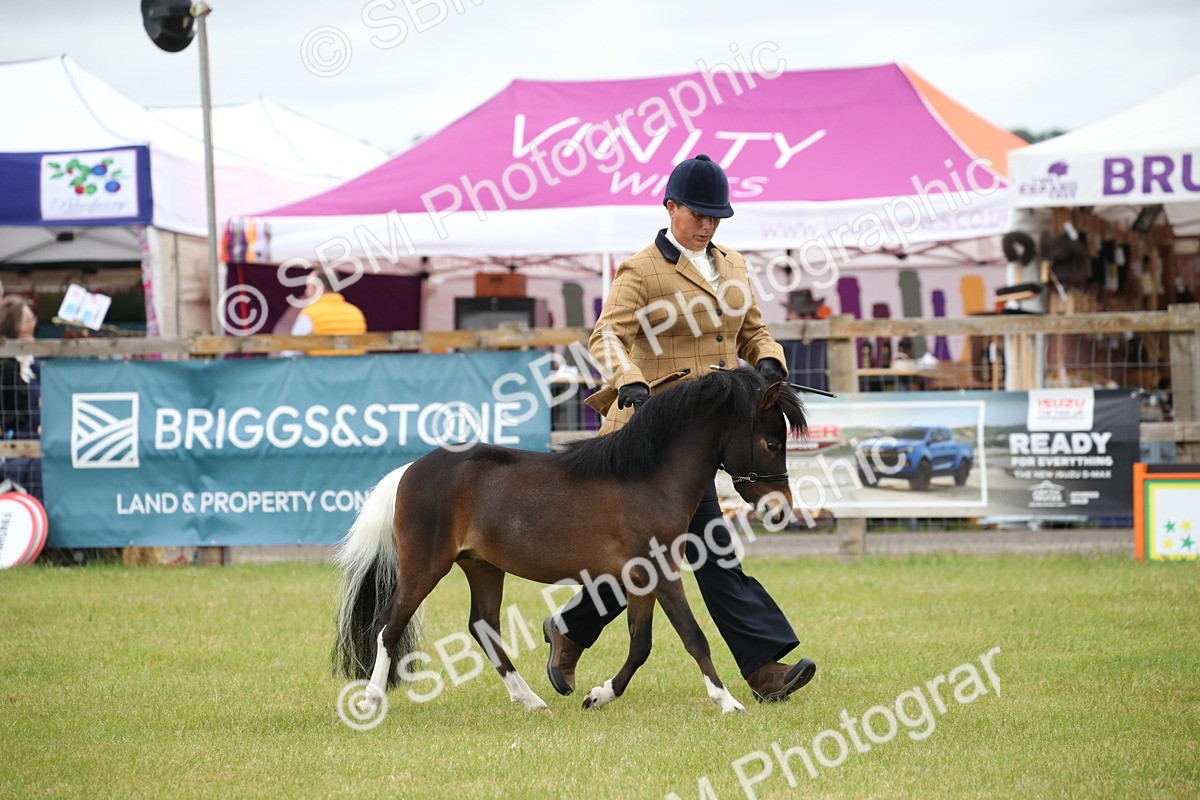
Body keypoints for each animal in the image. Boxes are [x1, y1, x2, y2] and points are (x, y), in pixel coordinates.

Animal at [333, 366, 806, 714]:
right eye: (771, 442)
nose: (780, 510)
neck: (647, 477)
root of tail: (408, 471)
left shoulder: (641, 577)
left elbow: (641, 644)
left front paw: (598, 695)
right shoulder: (661, 571)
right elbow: (693, 636)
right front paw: (727, 702)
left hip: (482, 567)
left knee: (483, 627)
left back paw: (530, 700)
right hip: (425, 566)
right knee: (388, 628)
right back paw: (371, 702)